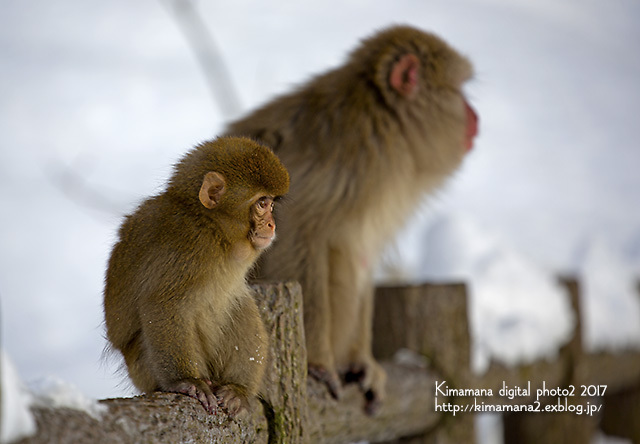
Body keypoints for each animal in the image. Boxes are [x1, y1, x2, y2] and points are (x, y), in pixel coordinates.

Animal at [103, 137, 290, 418]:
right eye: (262, 203)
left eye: (271, 204)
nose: (271, 225)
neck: (210, 225)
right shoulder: (188, 248)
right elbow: (162, 303)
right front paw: (186, 381)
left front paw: (238, 390)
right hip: (142, 369)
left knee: (239, 304)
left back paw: (236, 388)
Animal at [226, 23, 480, 412]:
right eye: (459, 91)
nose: (475, 116)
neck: (386, 122)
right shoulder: (346, 162)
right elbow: (298, 234)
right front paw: (318, 362)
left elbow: (363, 252)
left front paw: (360, 362)